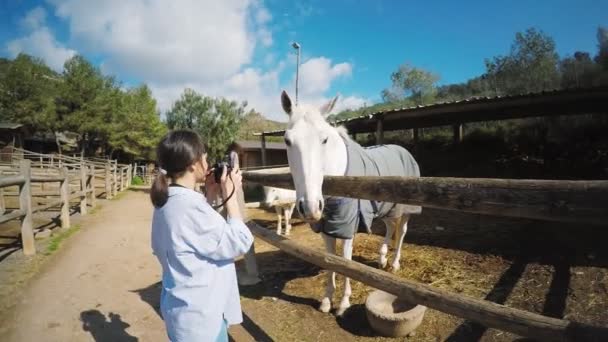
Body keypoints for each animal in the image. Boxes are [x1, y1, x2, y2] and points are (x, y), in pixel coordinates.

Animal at [282, 90, 420, 316]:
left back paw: (394, 264)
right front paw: (326, 301)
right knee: (390, 228)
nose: (310, 207)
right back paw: (382, 259)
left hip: (406, 209)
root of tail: (404, 150)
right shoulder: (327, 226)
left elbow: (346, 262)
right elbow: (330, 260)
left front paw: (343, 303)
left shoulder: (348, 226)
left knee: (401, 232)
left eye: (324, 140)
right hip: (385, 208)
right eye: (287, 140)